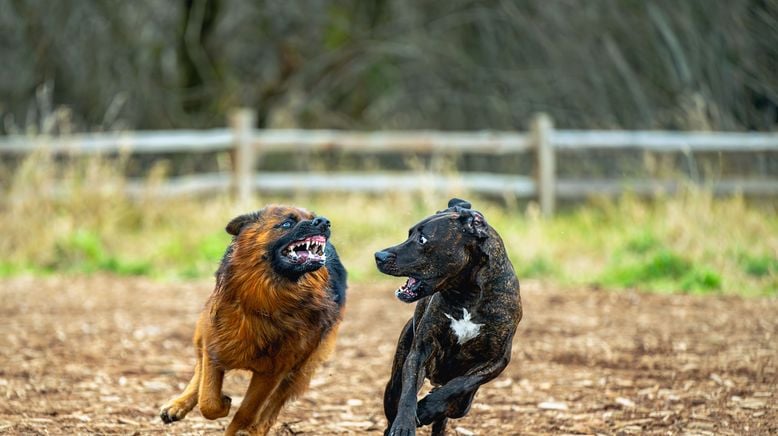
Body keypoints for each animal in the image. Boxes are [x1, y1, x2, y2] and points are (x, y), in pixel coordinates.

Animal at [159, 205, 348, 436]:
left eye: (313, 217)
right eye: (287, 223)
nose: (323, 221)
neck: (268, 298)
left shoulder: (272, 372)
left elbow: (246, 412)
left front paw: (238, 428)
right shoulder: (214, 348)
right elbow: (208, 399)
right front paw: (222, 403)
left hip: (299, 370)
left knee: (272, 408)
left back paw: (256, 429)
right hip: (202, 332)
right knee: (199, 369)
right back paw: (178, 405)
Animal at [372, 199, 520, 434]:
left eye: (422, 239)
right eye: (409, 233)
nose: (379, 255)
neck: (467, 293)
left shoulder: (497, 359)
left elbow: (461, 384)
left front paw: (427, 408)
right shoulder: (420, 351)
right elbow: (409, 393)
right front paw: (404, 424)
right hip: (395, 380)